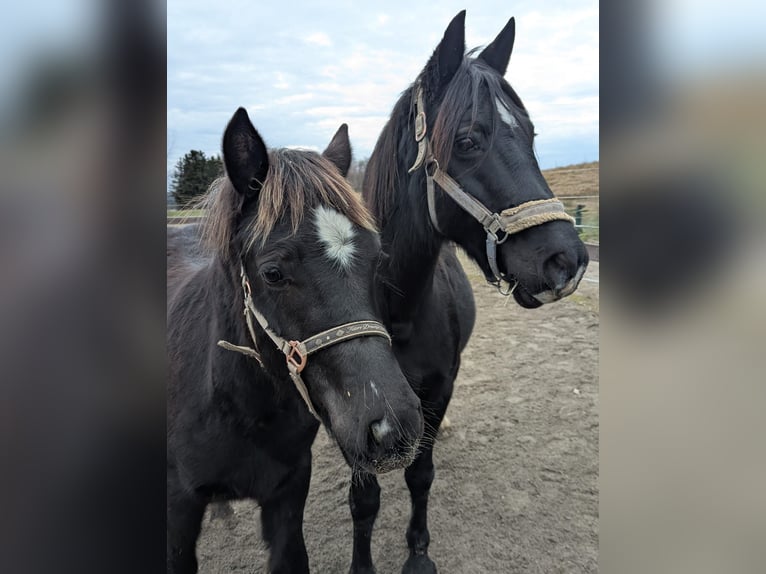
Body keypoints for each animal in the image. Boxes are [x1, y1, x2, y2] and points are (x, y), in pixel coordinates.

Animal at [350, 11, 589, 573]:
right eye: (466, 141)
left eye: (531, 134)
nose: (567, 260)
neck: (397, 312)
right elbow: (364, 499)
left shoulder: (439, 389)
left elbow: (420, 475)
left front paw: (418, 552)